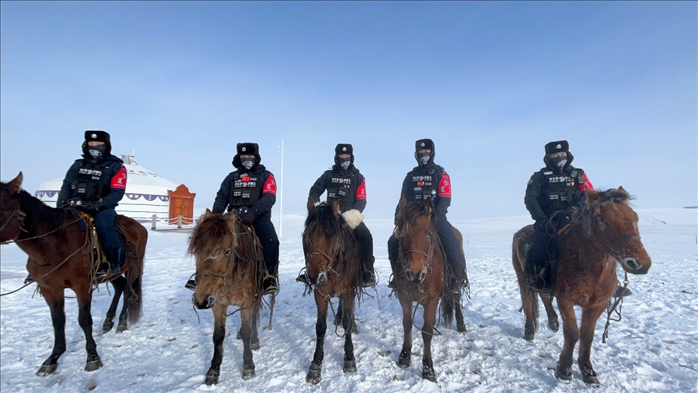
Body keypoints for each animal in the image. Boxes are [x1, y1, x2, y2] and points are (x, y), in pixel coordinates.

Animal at [0, 172, 145, 374]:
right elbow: (58, 321)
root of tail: (139, 226)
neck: (54, 246)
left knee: (129, 291)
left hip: (133, 269)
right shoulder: (50, 289)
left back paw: (122, 322)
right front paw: (53, 358)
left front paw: (92, 357)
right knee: (121, 287)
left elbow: (84, 320)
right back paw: (108, 321)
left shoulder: (82, 287)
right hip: (112, 273)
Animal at [188, 210, 264, 384]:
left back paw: (255, 340)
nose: (201, 300)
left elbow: (247, 331)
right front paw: (213, 370)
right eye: (196, 250)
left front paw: (248, 367)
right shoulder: (217, 303)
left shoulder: (247, 302)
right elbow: (218, 336)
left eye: (227, 251)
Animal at [302, 199, 362, 382]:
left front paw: (349, 359)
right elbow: (320, 327)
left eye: (332, 236)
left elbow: (348, 322)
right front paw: (315, 365)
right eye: (306, 235)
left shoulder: (349, 292)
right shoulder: (320, 294)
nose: (314, 277)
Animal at [394, 198, 464, 382]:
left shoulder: (432, 300)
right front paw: (405, 356)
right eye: (401, 233)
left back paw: (461, 324)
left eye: (428, 233)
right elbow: (407, 324)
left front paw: (428, 368)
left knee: (456, 299)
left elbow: (426, 332)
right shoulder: (404, 296)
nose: (415, 273)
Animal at [508, 186, 648, 382]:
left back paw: (553, 322)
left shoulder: (597, 305)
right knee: (528, 300)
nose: (641, 264)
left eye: (635, 217)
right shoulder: (565, 300)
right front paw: (564, 369)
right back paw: (529, 331)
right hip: (522, 277)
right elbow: (572, 333)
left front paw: (587, 370)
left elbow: (587, 336)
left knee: (543, 294)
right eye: (604, 221)